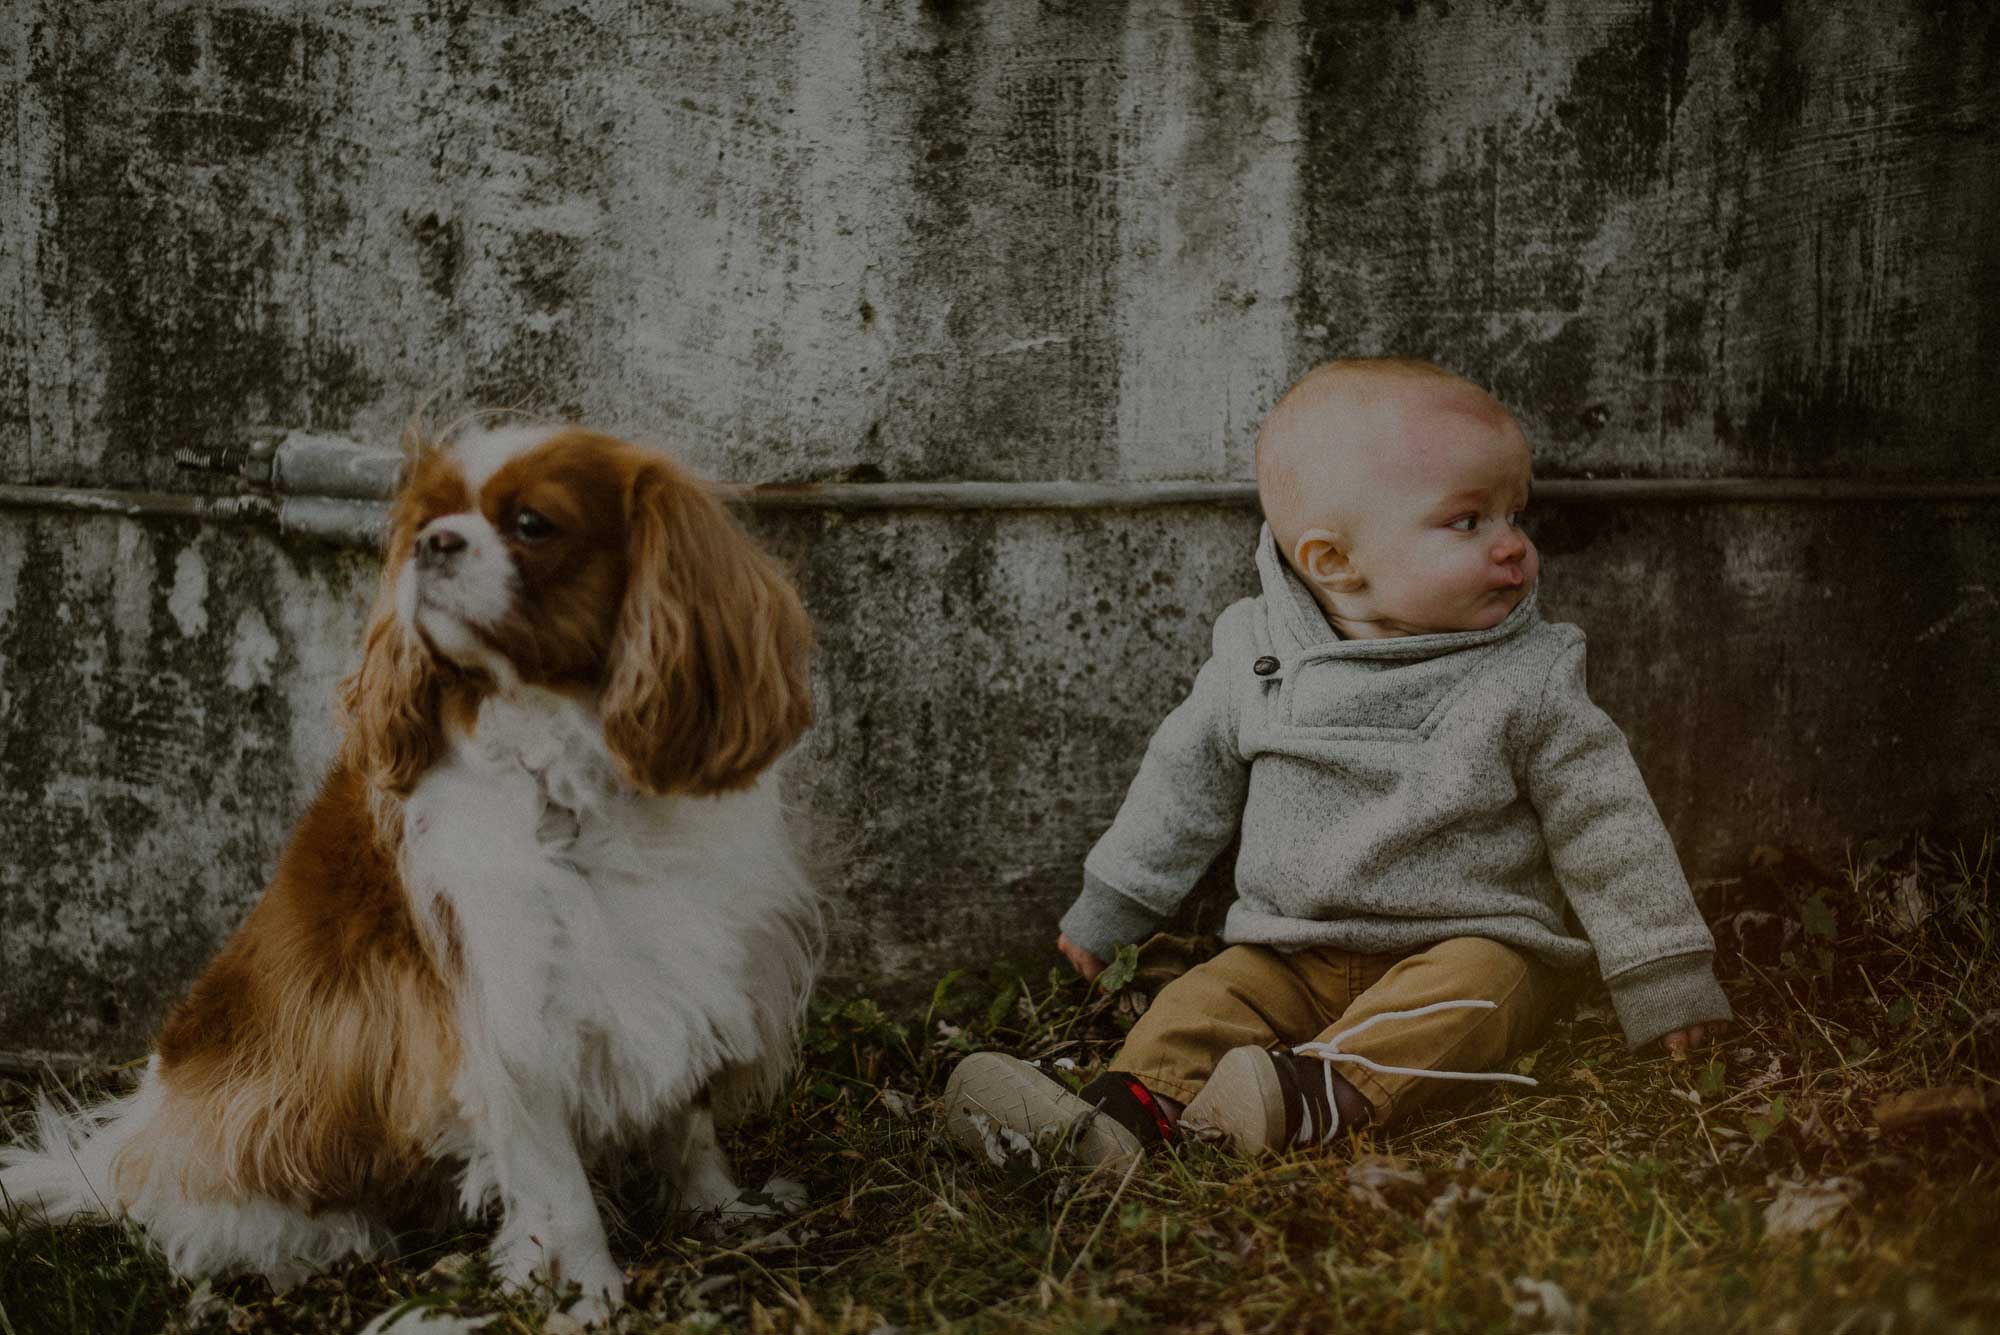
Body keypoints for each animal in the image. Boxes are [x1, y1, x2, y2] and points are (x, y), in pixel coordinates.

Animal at [0, 425, 824, 1311]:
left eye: (532, 524)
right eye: (428, 519)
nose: (435, 543)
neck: (575, 773)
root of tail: (126, 1142)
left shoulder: (696, 962)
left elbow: (689, 1117)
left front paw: (717, 1206)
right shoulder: (509, 1011)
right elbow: (556, 1179)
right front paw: (583, 1290)